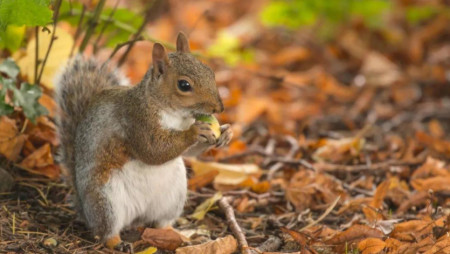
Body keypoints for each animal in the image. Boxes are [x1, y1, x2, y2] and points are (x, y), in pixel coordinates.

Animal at [53, 31, 232, 250]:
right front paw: (195, 131)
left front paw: (225, 133)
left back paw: (179, 236)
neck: (173, 113)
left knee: (162, 223)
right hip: (106, 200)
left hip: (173, 198)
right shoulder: (136, 120)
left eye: (210, 72)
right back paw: (117, 243)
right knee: (105, 231)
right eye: (184, 85)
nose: (219, 108)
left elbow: (188, 152)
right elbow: (152, 149)